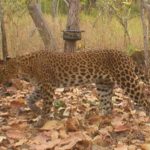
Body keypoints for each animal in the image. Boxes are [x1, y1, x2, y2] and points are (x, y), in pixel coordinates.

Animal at [0, 49, 149, 126]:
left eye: (4, 71)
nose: (1, 80)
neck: (27, 67)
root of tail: (127, 56)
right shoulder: (40, 87)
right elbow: (29, 99)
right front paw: (36, 110)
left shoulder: (48, 87)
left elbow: (46, 106)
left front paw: (41, 122)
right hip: (103, 86)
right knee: (108, 106)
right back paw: (100, 119)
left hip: (127, 81)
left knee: (144, 99)